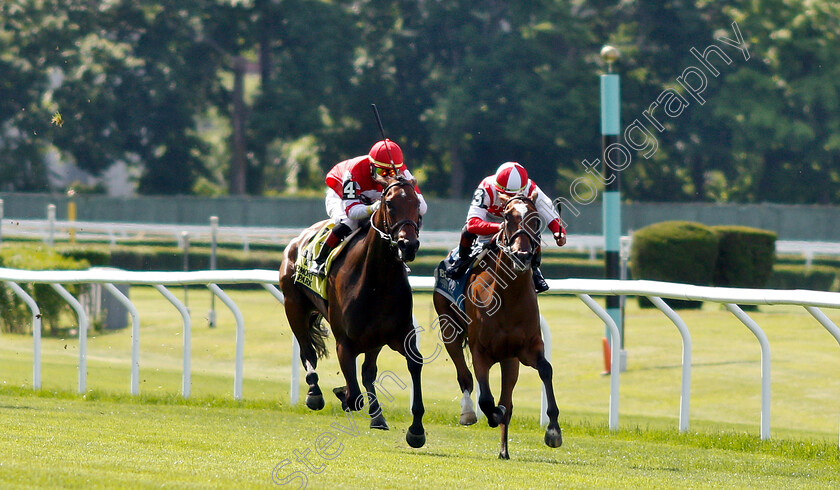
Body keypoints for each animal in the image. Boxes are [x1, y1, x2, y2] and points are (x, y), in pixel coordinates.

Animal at [280, 173, 426, 448]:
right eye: (389, 204)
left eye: (417, 205)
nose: (408, 245)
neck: (377, 282)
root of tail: (296, 240)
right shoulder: (344, 343)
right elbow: (353, 395)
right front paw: (342, 393)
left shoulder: (399, 335)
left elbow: (413, 365)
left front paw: (416, 430)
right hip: (293, 306)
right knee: (307, 352)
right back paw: (314, 393)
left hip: (373, 339)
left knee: (368, 373)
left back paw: (377, 416)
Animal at [434, 191, 564, 460]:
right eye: (506, 217)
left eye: (536, 220)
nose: (522, 255)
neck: (507, 297)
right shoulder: (480, 351)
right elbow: (486, 398)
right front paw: (491, 413)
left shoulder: (528, 348)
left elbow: (546, 370)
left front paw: (553, 430)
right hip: (448, 328)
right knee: (464, 376)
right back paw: (468, 412)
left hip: (509, 359)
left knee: (507, 396)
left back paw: (504, 449)